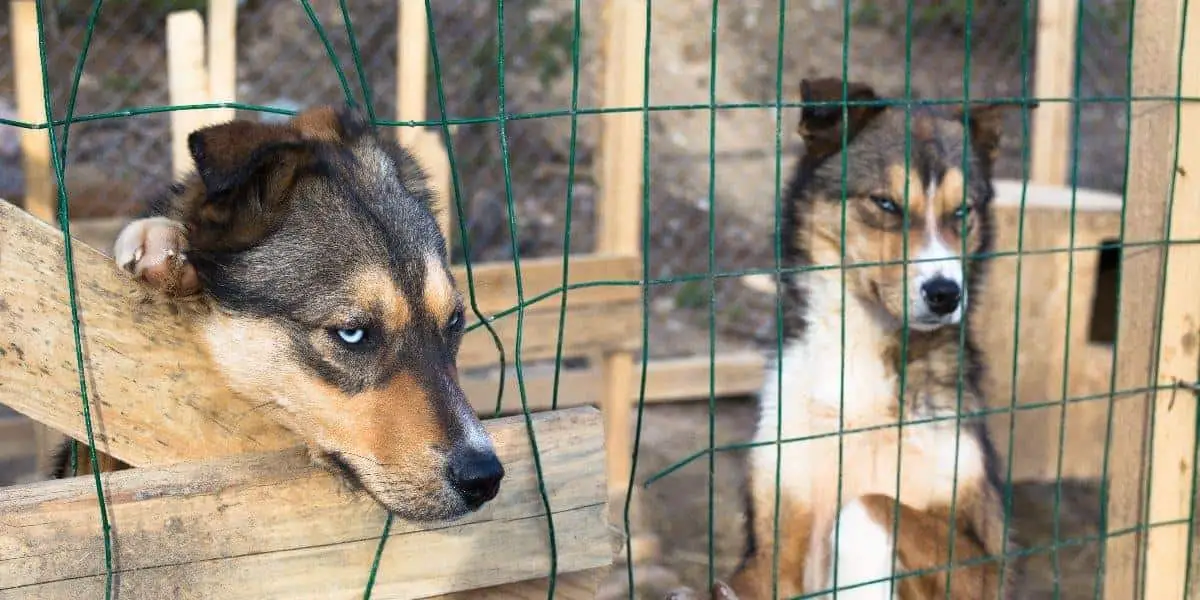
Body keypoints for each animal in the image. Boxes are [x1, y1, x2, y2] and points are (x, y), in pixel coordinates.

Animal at [672, 79, 1036, 600]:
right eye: (885, 203)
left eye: (961, 211)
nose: (946, 293)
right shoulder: (769, 551)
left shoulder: (986, 563)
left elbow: (868, 503)